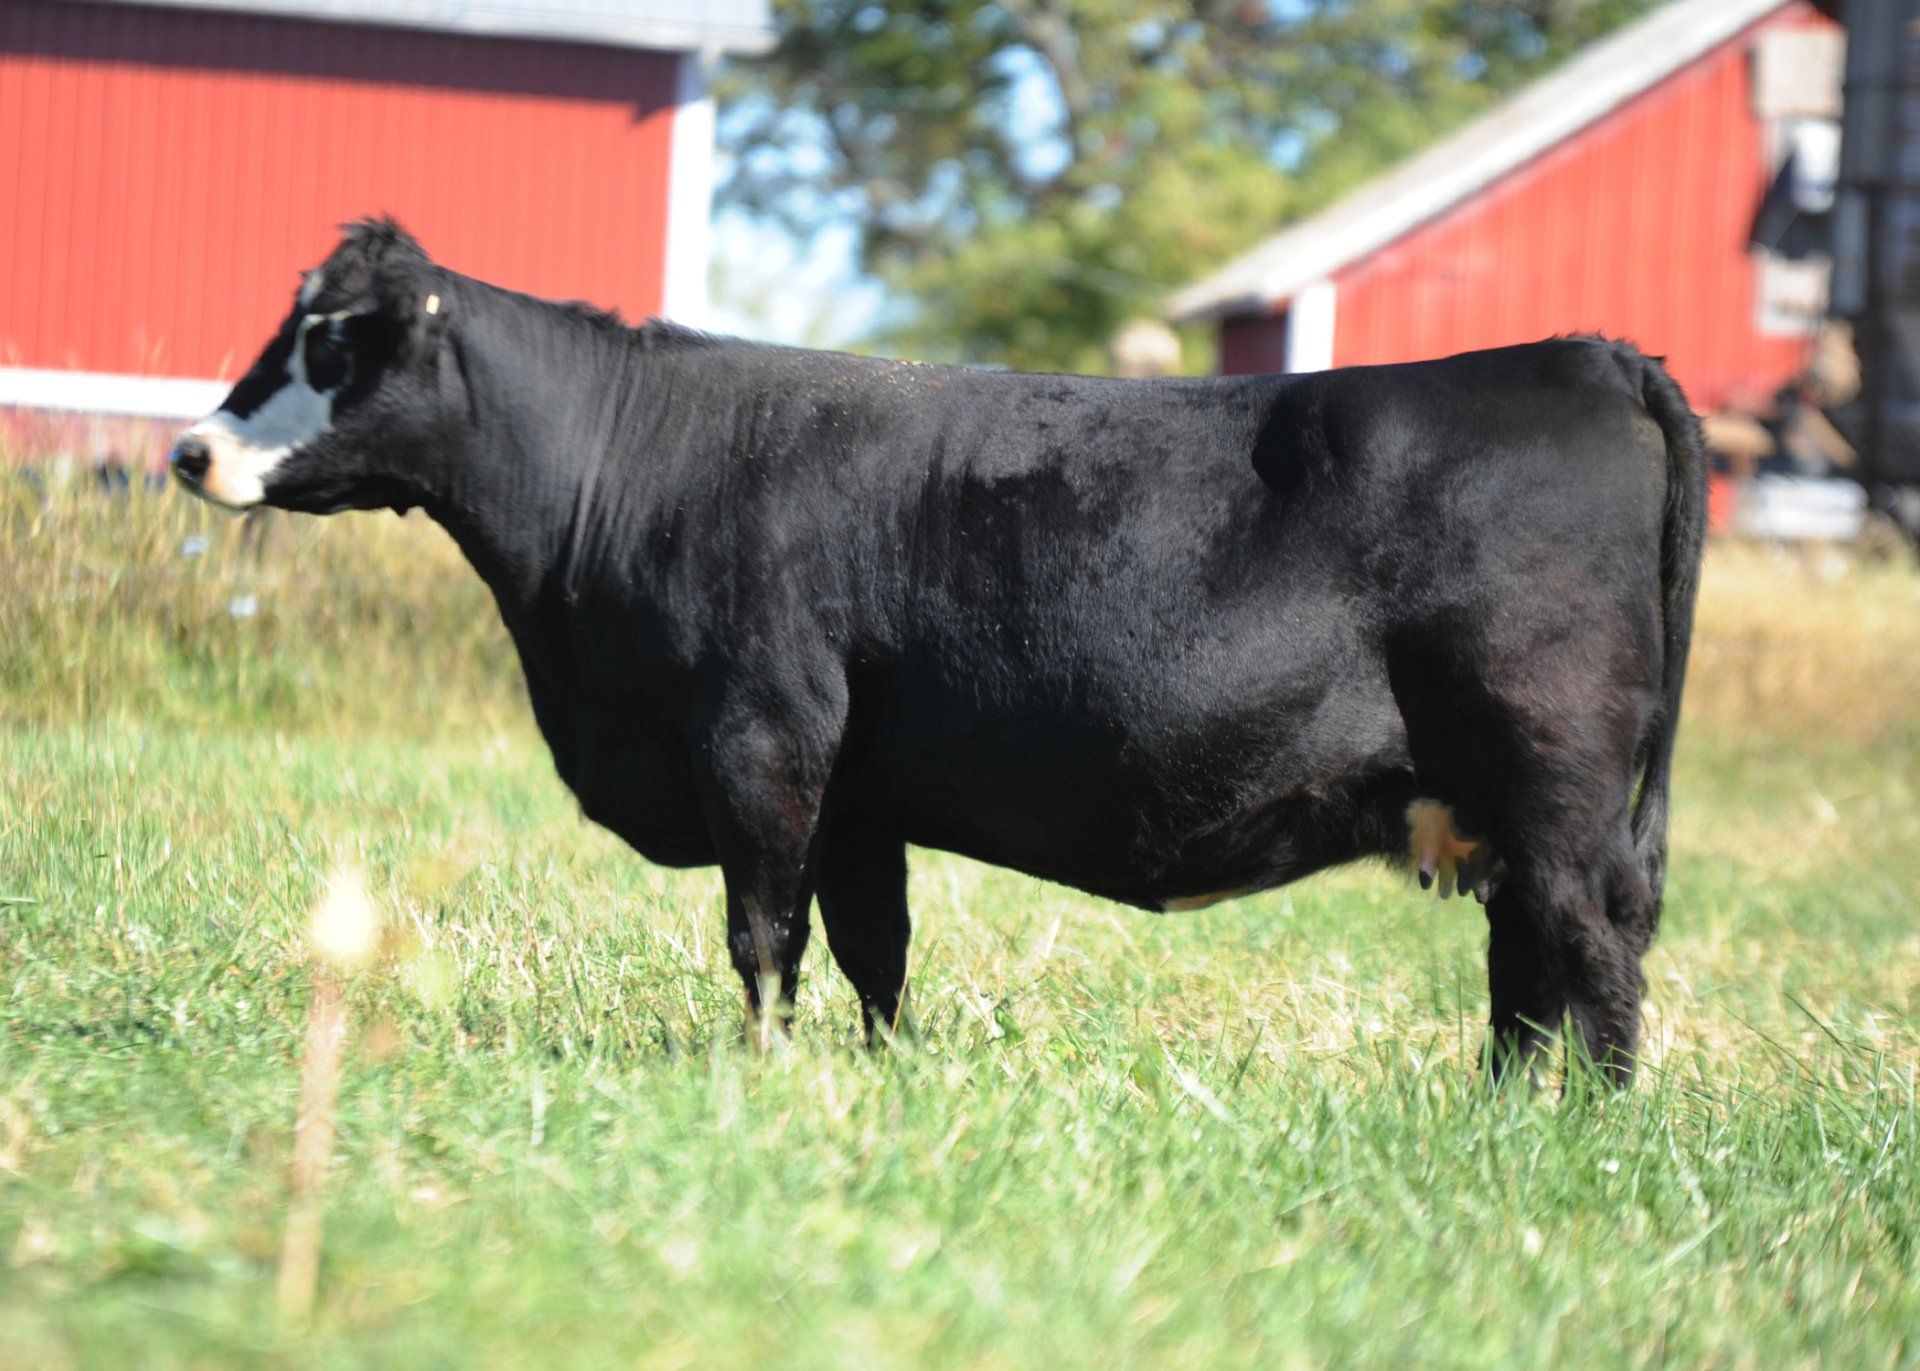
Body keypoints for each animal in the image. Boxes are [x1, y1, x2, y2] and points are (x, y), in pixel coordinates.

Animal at [171, 220, 1706, 1086]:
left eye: (331, 343)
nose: (191, 448)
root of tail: (1582, 351)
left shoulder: (762, 733)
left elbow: (764, 932)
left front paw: (762, 1076)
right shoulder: (859, 791)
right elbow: (875, 949)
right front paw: (881, 1083)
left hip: (1555, 771)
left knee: (1588, 941)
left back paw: (1592, 1126)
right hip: (1507, 800)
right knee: (1527, 962)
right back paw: (1499, 1115)